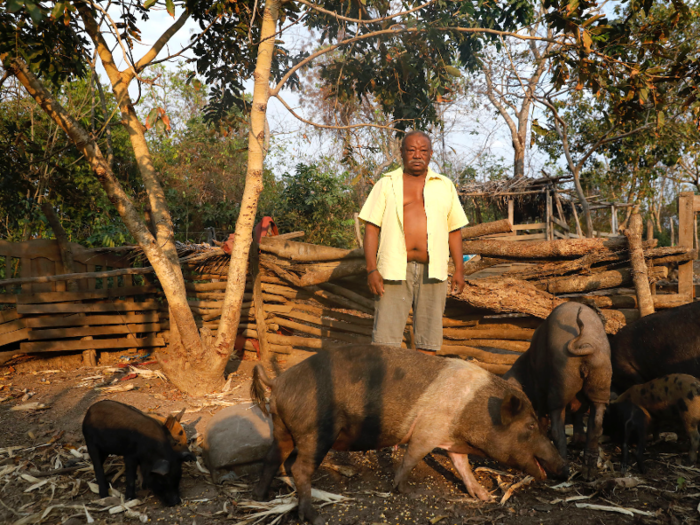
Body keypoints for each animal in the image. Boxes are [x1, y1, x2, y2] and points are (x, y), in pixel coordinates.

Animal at [249, 344, 568, 524]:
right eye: (531, 426)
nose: (562, 466)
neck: (472, 410)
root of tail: (279, 382)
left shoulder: (452, 439)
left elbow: (463, 466)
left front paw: (484, 496)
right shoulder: (428, 430)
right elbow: (411, 458)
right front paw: (408, 491)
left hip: (282, 428)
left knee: (271, 458)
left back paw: (263, 497)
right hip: (317, 432)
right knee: (299, 468)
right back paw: (314, 517)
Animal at [504, 302, 612, 478]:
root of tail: (582, 343)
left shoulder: (539, 389)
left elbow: (543, 414)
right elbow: (578, 414)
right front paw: (577, 441)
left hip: (560, 385)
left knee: (557, 428)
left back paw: (564, 470)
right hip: (601, 380)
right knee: (596, 424)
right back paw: (588, 473)